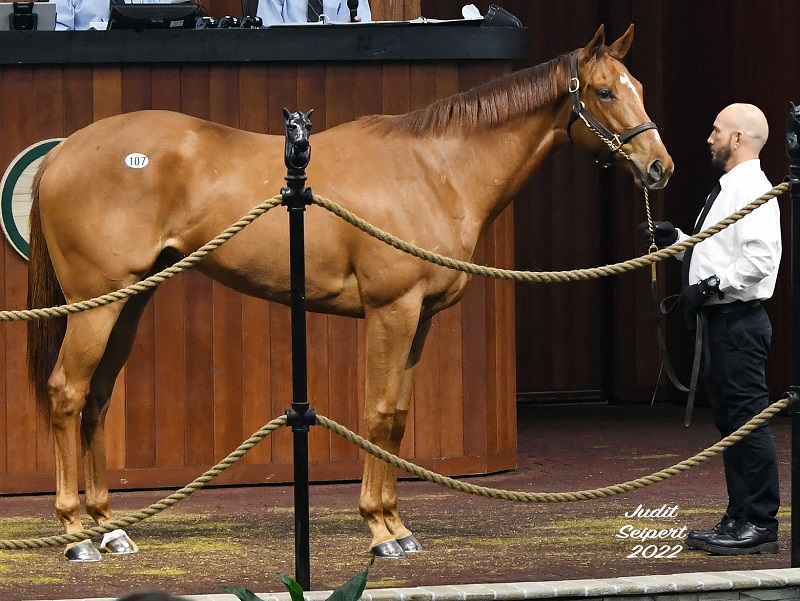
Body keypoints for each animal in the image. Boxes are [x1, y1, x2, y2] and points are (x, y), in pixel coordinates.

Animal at [26, 22, 668, 556]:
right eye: (605, 93)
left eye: (638, 85)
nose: (660, 166)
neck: (434, 171)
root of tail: (61, 153)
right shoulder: (391, 312)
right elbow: (378, 413)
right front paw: (380, 532)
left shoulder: (419, 319)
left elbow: (399, 417)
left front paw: (398, 526)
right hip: (97, 306)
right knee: (67, 393)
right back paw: (76, 533)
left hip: (130, 302)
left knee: (98, 398)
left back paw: (109, 528)